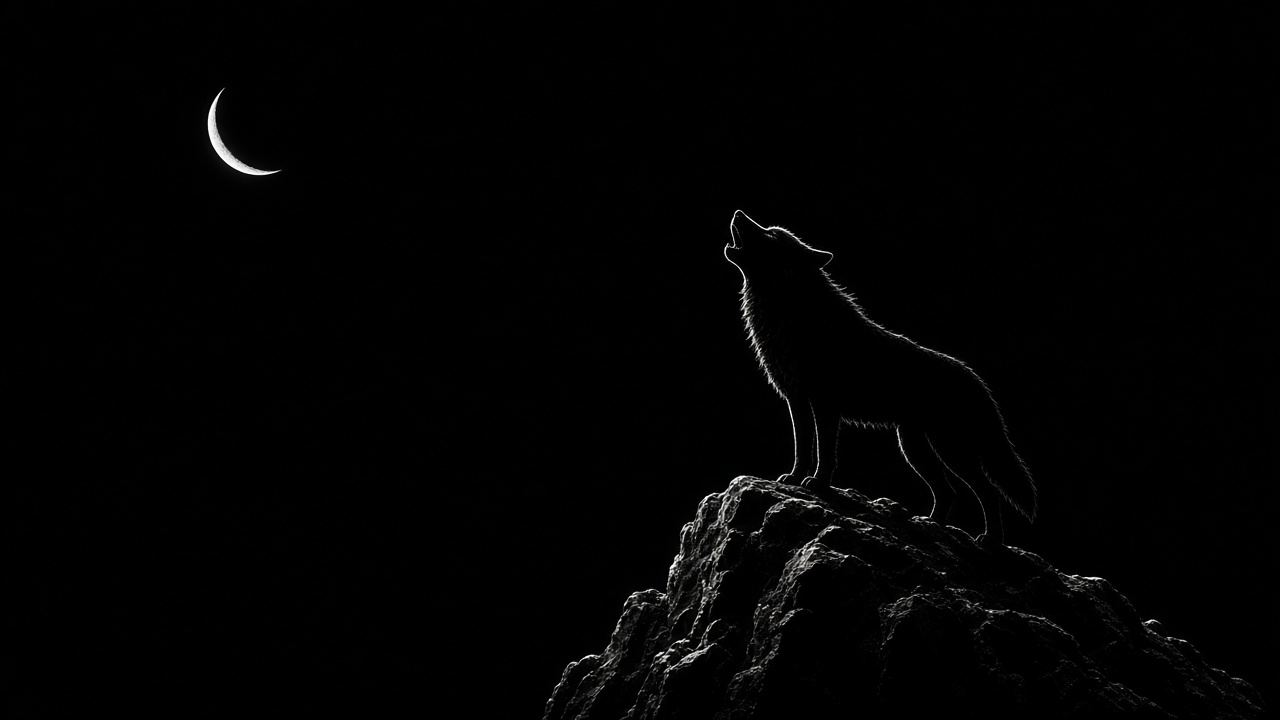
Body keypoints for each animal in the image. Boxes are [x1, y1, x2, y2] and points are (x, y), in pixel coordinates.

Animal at [724, 210, 1037, 546]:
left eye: (771, 235)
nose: (739, 213)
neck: (793, 313)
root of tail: (979, 383)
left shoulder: (824, 406)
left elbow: (824, 453)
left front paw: (817, 485)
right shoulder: (797, 401)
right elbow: (802, 448)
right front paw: (794, 478)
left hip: (951, 450)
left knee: (988, 492)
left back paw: (991, 540)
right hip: (915, 447)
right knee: (949, 492)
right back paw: (930, 524)